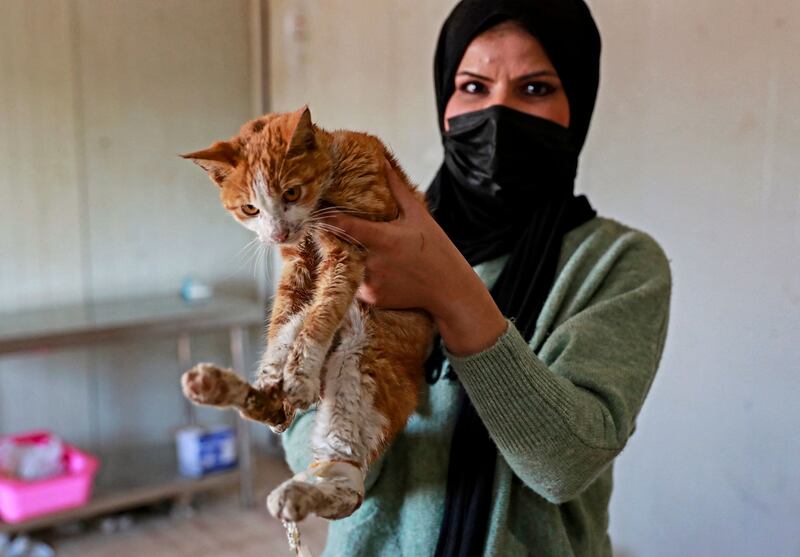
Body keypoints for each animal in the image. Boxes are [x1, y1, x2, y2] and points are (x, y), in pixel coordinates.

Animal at [179, 106, 434, 520]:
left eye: (291, 192)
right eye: (250, 208)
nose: (278, 233)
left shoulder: (347, 251)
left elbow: (322, 311)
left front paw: (299, 373)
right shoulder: (296, 266)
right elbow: (282, 316)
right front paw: (275, 370)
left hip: (361, 369)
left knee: (348, 486)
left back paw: (296, 490)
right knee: (278, 409)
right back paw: (226, 384)